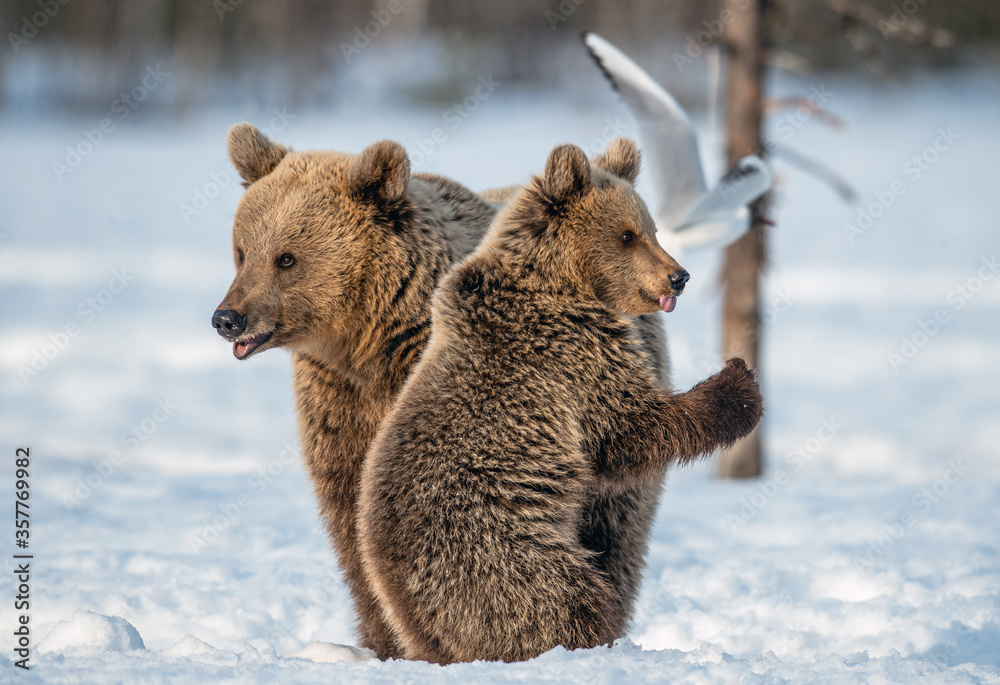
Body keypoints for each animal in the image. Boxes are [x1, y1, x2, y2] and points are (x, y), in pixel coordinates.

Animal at [212, 126, 674, 658]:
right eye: (242, 251)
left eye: (286, 258)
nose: (228, 318)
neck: (368, 342)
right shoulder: (338, 402)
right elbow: (354, 520)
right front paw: (384, 639)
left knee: (616, 522)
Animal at [356, 138, 764, 665]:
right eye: (627, 234)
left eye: (652, 228)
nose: (679, 276)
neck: (561, 282)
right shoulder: (570, 356)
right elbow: (631, 427)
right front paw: (739, 384)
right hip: (494, 550)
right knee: (563, 600)